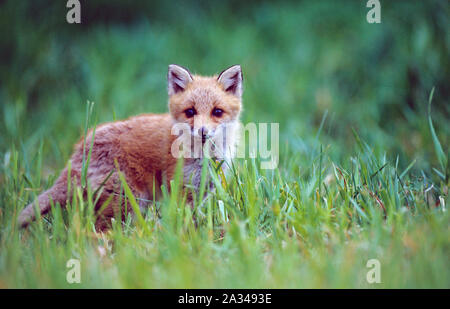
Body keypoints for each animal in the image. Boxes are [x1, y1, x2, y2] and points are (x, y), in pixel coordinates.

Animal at [18, 63, 243, 230]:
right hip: (129, 199)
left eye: (217, 112)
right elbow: (184, 219)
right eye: (190, 112)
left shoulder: (203, 188)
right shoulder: (179, 188)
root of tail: (79, 151)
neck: (204, 158)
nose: (203, 131)